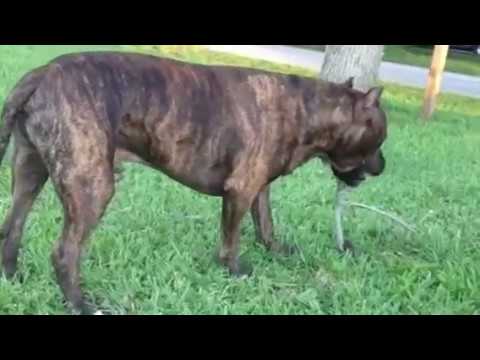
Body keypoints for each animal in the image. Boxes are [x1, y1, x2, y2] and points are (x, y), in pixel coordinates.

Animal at [0, 52, 386, 314]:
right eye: (380, 138)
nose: (383, 166)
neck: (308, 111)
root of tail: (41, 74)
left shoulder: (259, 188)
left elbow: (266, 224)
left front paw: (276, 250)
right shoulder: (240, 190)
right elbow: (231, 239)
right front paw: (235, 270)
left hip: (29, 173)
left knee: (12, 228)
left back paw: (12, 277)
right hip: (92, 186)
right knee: (65, 253)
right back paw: (80, 304)